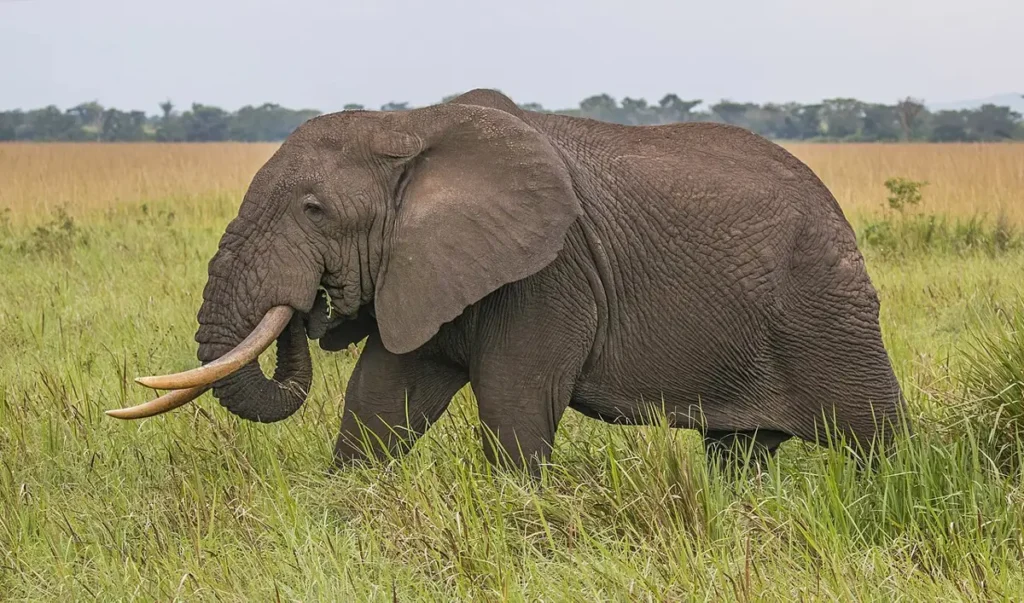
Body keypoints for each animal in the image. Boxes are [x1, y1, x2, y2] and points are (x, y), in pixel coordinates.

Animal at [109, 88, 908, 476]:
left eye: (314, 211)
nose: (314, 307)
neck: (411, 128)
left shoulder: (550, 275)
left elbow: (515, 405)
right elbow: (381, 400)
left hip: (827, 308)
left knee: (875, 438)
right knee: (738, 452)